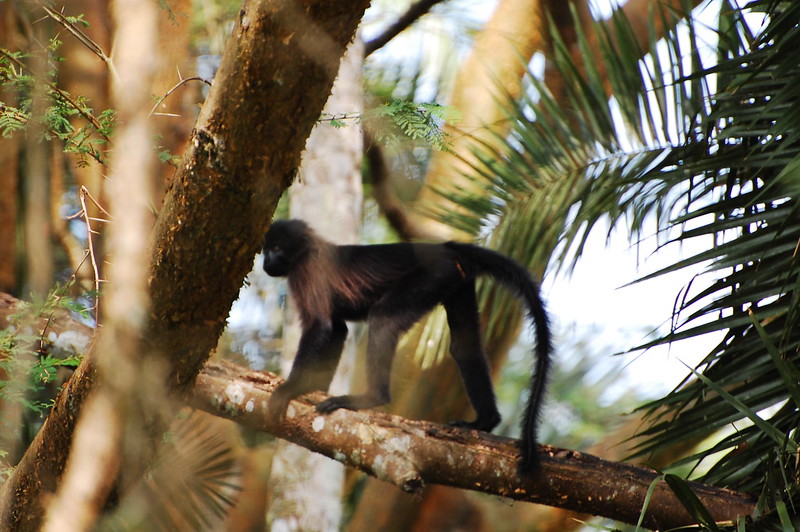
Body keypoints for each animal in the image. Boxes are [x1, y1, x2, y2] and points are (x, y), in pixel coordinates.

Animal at [262, 218, 552, 472]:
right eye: (265, 250)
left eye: (276, 248)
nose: (266, 261)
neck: (307, 249)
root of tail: (445, 247)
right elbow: (336, 329)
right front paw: (314, 387)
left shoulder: (307, 271)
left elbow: (322, 327)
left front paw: (291, 388)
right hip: (455, 278)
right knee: (464, 347)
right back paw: (485, 420)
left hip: (433, 274)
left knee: (383, 319)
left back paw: (372, 398)